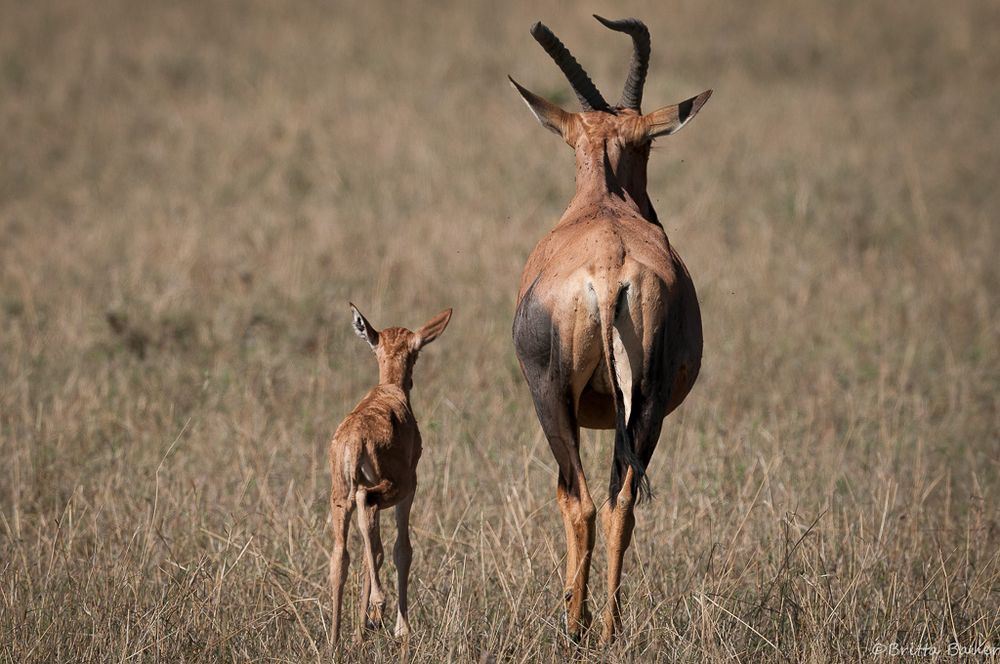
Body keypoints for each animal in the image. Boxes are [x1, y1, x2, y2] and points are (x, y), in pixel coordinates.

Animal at [328, 304, 454, 644]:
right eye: (417, 353)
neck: (389, 392)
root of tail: (355, 438)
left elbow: (372, 550)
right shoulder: (410, 490)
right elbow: (401, 550)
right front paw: (399, 629)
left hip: (339, 497)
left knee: (341, 556)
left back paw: (335, 642)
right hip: (386, 489)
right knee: (366, 504)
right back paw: (379, 607)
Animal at [512, 14, 716, 644]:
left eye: (648, 144)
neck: (602, 203)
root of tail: (607, 270)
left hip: (551, 396)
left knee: (578, 501)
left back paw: (576, 627)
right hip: (644, 403)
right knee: (620, 502)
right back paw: (607, 628)